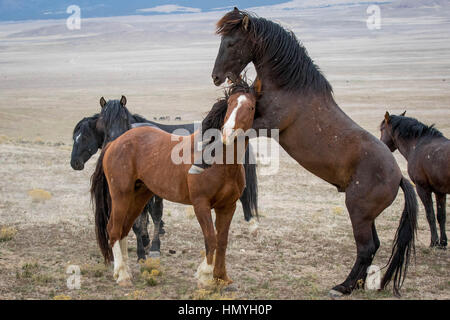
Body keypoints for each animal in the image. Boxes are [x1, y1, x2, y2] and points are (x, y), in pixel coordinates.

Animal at [90, 85, 256, 284]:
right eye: (230, 104)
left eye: (251, 107)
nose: (227, 133)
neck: (218, 160)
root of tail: (115, 143)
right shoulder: (201, 205)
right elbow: (211, 238)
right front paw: (205, 276)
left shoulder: (227, 207)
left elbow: (222, 240)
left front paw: (221, 277)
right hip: (120, 195)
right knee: (113, 229)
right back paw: (122, 276)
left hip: (138, 197)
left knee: (123, 229)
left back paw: (126, 270)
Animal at [211, 8, 418, 298]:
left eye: (231, 43)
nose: (216, 77)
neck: (289, 87)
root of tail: (399, 176)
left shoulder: (266, 124)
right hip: (367, 216)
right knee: (373, 245)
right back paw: (355, 285)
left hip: (358, 211)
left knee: (366, 248)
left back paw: (342, 287)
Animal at [380, 112, 450, 248]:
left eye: (382, 129)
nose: (381, 144)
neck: (417, 144)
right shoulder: (440, 192)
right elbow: (441, 216)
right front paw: (443, 243)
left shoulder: (422, 188)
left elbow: (430, 215)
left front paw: (434, 242)